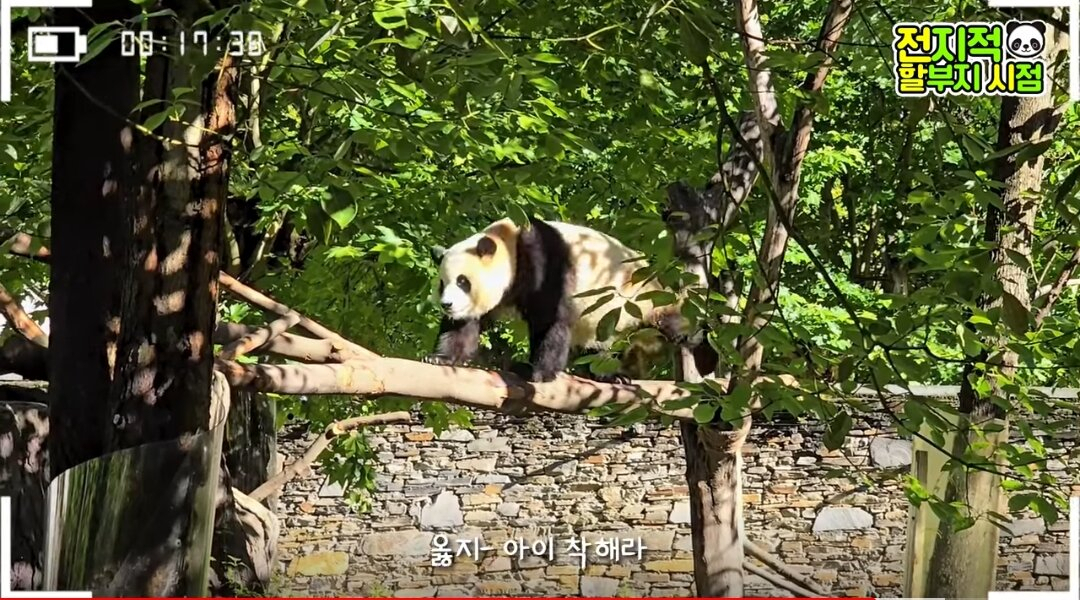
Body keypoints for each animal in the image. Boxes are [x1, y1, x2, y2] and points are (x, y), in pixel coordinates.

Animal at [423, 217, 717, 382]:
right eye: (442, 283)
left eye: (463, 281)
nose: (447, 305)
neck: (512, 245)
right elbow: (465, 325)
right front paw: (439, 358)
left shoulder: (548, 264)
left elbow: (551, 320)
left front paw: (534, 371)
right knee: (596, 348)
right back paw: (609, 375)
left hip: (643, 297)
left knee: (679, 324)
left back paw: (704, 352)